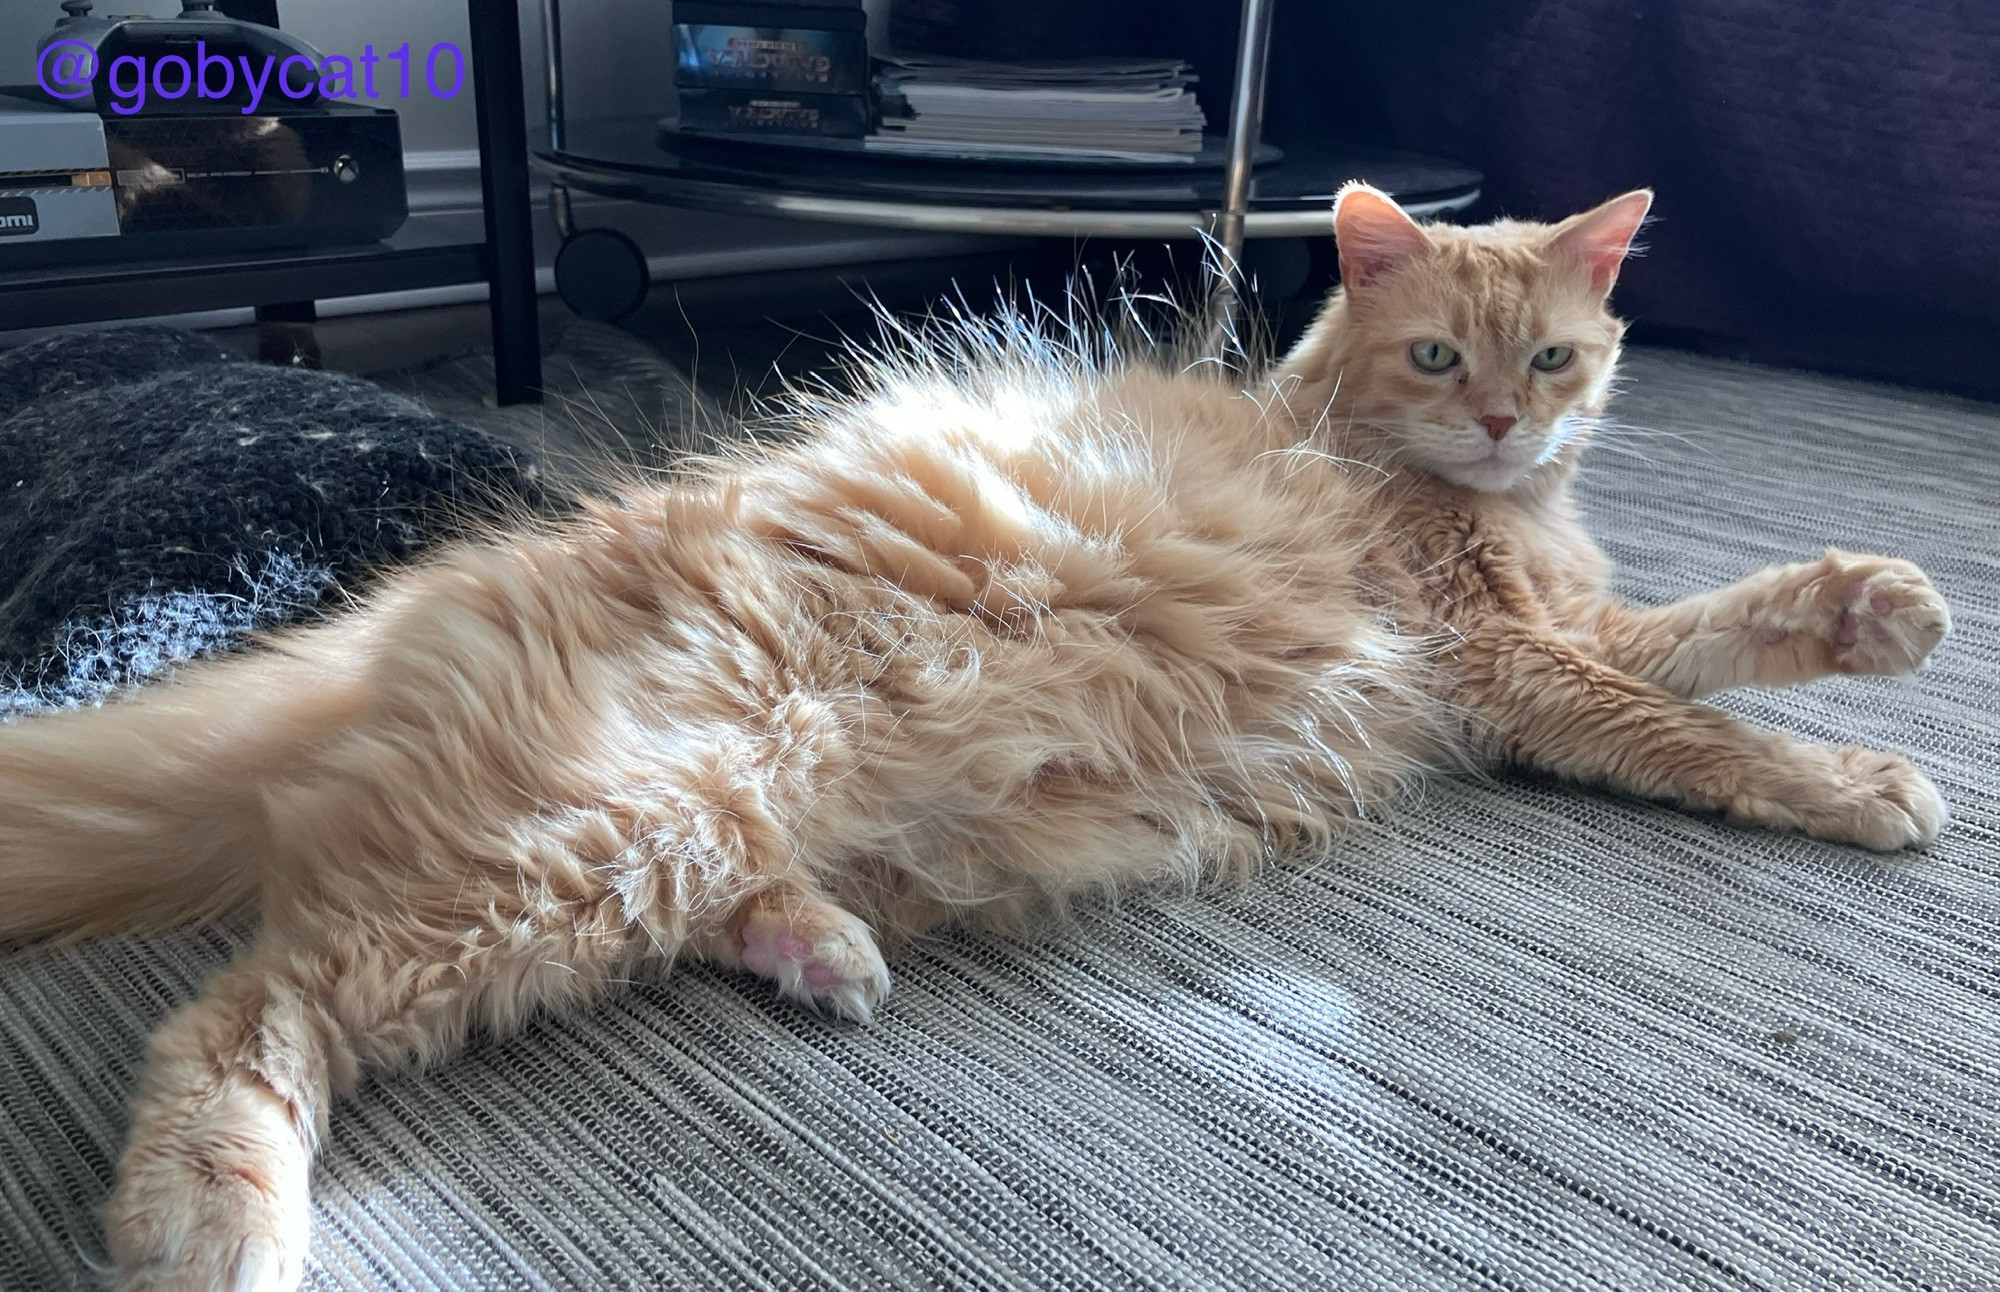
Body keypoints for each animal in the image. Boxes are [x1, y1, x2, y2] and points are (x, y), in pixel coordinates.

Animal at [0, 185, 1944, 1292]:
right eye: (1438, 360)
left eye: (1550, 361)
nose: (1494, 427)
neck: (1464, 500)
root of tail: (445, 590)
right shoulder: (1511, 663)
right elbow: (1698, 729)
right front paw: (1859, 776)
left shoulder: (1550, 636)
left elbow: (1713, 628)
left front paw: (1877, 612)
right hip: (602, 827)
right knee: (245, 1005)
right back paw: (212, 1227)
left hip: (668, 841)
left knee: (685, 909)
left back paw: (814, 949)